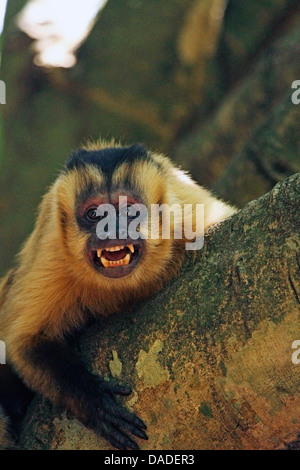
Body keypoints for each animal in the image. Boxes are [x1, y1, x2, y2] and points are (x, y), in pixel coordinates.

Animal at [0, 141, 236, 450]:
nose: (112, 229)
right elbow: (24, 343)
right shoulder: (53, 250)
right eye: (94, 214)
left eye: (128, 211)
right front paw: (94, 401)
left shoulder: (192, 215)